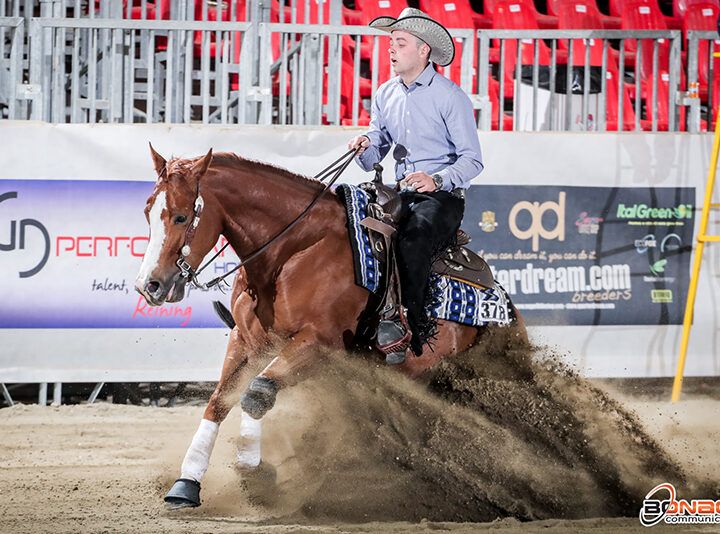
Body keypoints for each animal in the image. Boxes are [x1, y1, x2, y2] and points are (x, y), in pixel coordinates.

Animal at [135, 147, 524, 510]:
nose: (149, 285)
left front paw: (252, 470)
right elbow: (220, 400)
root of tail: (504, 305)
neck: (295, 248)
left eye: (182, 215)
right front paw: (186, 483)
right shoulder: (247, 340)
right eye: (148, 211)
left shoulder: (319, 344)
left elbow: (257, 393)